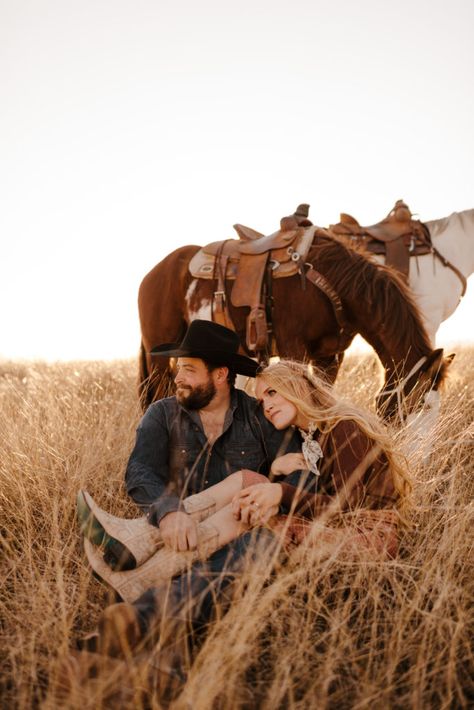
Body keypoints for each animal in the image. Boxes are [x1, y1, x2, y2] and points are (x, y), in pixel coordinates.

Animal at [138, 231, 452, 420]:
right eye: (418, 404)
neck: (333, 284)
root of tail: (154, 272)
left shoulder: (330, 357)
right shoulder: (294, 349)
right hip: (159, 357)